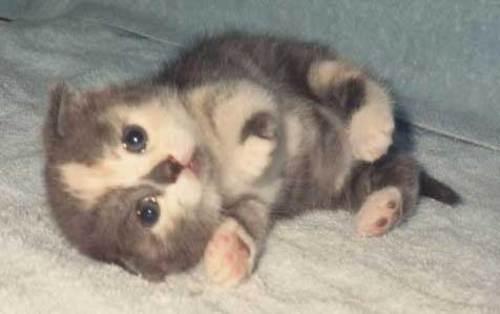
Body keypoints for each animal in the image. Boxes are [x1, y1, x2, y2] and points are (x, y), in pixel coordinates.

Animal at [43, 31, 458, 284]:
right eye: (147, 212)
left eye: (134, 138)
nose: (174, 166)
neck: (216, 168)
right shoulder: (251, 201)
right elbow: (248, 218)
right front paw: (228, 252)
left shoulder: (226, 81)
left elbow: (236, 103)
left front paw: (253, 154)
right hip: (344, 181)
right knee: (401, 170)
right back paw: (381, 210)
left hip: (291, 61)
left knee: (348, 79)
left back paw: (371, 131)